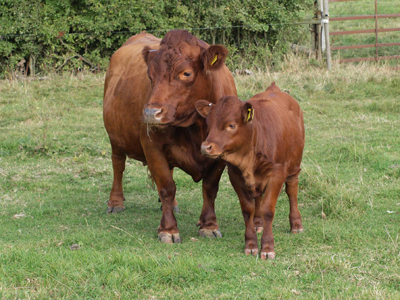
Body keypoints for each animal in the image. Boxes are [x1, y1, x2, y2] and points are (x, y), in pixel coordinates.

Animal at [103, 29, 238, 244]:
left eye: (186, 73)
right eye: (150, 75)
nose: (151, 113)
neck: (197, 127)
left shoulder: (220, 154)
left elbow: (210, 188)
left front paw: (209, 225)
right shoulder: (153, 148)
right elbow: (166, 187)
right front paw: (168, 229)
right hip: (116, 137)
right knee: (118, 165)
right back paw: (115, 202)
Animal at [195, 82, 304, 258]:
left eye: (231, 125)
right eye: (208, 125)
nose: (206, 147)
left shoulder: (276, 174)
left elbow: (268, 210)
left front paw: (267, 247)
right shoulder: (235, 176)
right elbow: (248, 210)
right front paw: (251, 244)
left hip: (294, 166)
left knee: (292, 191)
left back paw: (296, 224)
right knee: (258, 198)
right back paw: (258, 223)